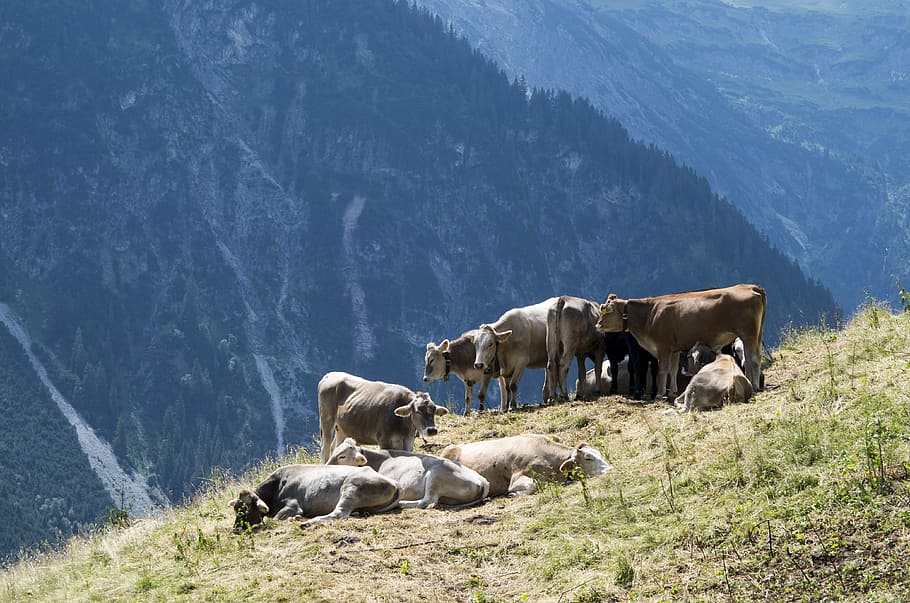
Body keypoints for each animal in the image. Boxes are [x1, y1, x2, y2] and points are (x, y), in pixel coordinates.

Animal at [229, 464, 401, 530]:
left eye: (246, 510)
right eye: (236, 509)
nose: (236, 528)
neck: (277, 485)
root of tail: (394, 483)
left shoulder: (293, 505)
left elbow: (276, 519)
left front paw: (295, 518)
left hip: (351, 487)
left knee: (339, 513)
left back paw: (308, 522)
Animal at [318, 371, 448, 463]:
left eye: (434, 409)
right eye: (417, 411)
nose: (432, 430)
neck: (404, 428)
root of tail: (329, 375)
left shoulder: (409, 443)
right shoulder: (384, 441)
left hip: (342, 428)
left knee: (335, 446)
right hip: (327, 421)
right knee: (325, 448)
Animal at [326, 438, 490, 509]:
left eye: (342, 456)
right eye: (334, 451)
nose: (326, 466)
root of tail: (482, 480)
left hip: (436, 475)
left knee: (427, 500)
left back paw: (403, 503)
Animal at [440, 434, 612, 497]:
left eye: (599, 453)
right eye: (588, 458)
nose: (610, 469)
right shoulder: (518, 477)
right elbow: (531, 486)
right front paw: (513, 494)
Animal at [596, 284, 766, 399]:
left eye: (607, 311)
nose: (597, 325)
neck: (649, 315)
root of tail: (749, 286)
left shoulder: (663, 347)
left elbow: (663, 369)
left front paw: (660, 394)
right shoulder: (674, 349)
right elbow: (673, 369)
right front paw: (672, 391)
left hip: (748, 335)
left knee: (752, 359)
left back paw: (755, 385)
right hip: (756, 335)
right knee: (755, 358)